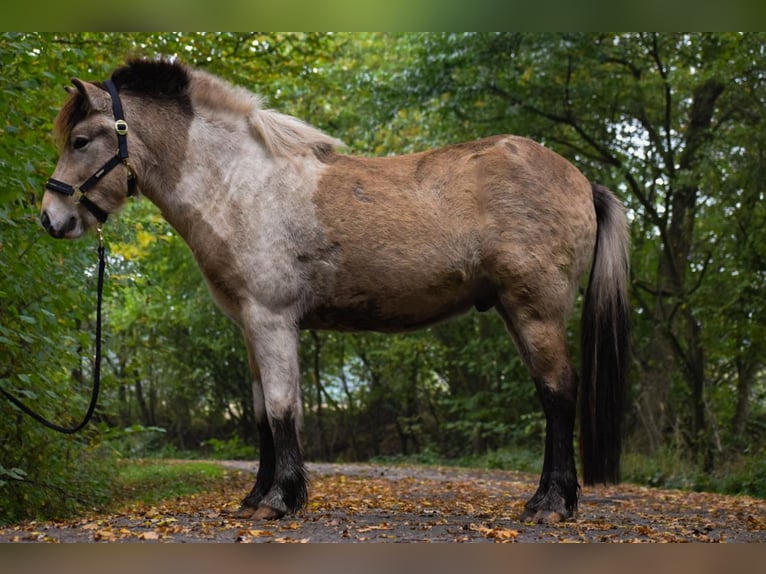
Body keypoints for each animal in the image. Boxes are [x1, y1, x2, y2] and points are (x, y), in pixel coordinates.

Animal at [40, 59, 632, 528]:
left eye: (81, 141)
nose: (52, 218)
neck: (240, 185)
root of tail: (583, 181)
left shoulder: (273, 320)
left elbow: (282, 409)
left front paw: (280, 500)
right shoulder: (251, 328)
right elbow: (262, 414)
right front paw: (256, 496)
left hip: (536, 312)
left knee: (557, 394)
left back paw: (551, 504)